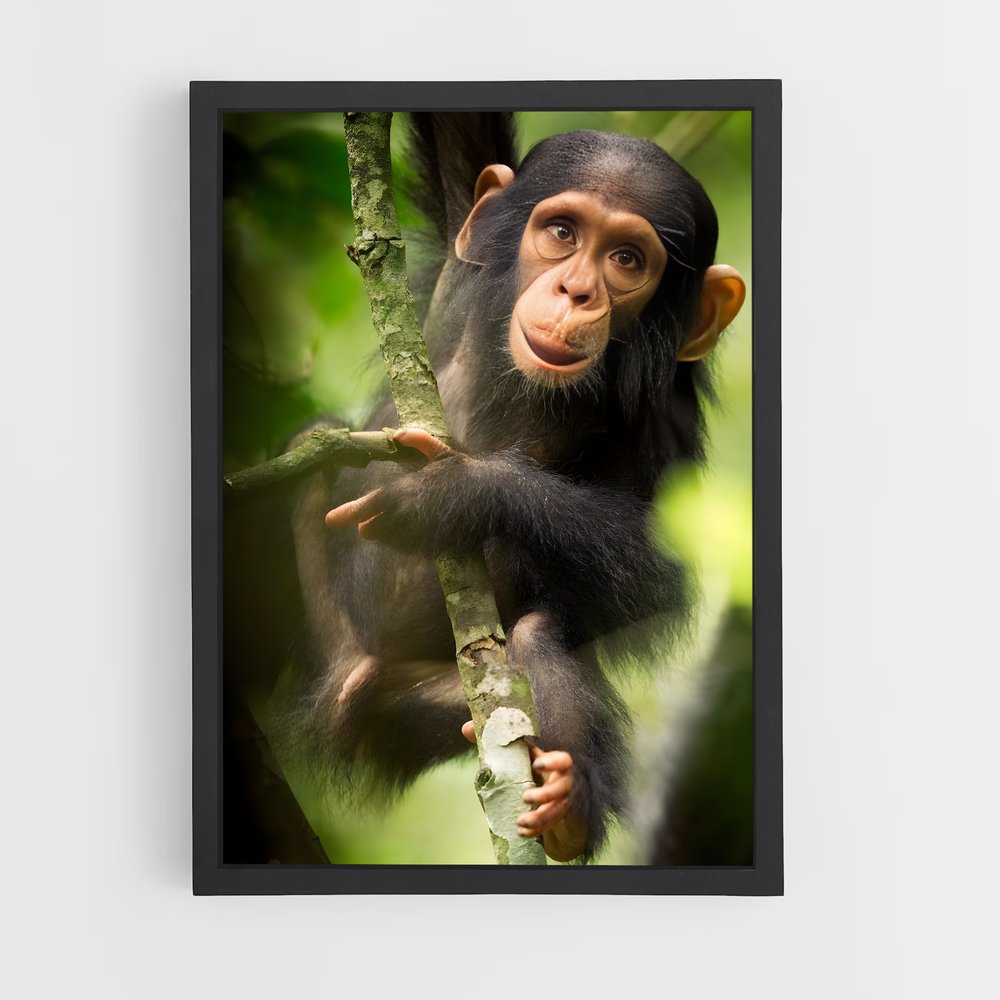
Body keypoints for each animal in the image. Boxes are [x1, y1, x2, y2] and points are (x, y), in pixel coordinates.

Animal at [278, 114, 745, 862]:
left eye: (627, 260)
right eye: (561, 233)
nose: (576, 291)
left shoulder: (662, 424)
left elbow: (658, 567)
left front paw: (455, 493)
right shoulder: (458, 251)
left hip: (422, 712)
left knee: (536, 638)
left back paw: (568, 804)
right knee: (311, 445)